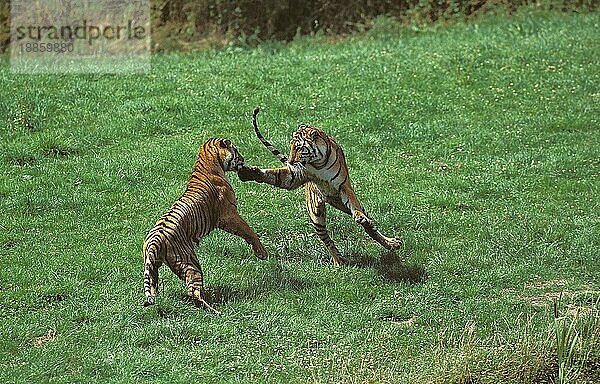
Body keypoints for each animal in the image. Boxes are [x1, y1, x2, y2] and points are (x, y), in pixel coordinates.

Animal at [143, 138, 268, 312]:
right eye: (236, 150)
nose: (243, 159)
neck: (207, 160)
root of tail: (154, 241)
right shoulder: (229, 215)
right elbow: (248, 231)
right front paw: (262, 253)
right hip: (190, 262)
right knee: (193, 292)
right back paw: (215, 311)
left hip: (153, 267)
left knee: (155, 288)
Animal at [237, 106, 400, 266]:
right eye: (291, 146)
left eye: (299, 148)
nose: (290, 161)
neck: (318, 162)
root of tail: (331, 200)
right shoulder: (296, 175)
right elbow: (275, 176)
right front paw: (249, 172)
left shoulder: (343, 186)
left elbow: (355, 207)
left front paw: (360, 217)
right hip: (316, 215)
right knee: (327, 239)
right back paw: (338, 260)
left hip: (341, 203)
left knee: (369, 227)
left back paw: (390, 243)